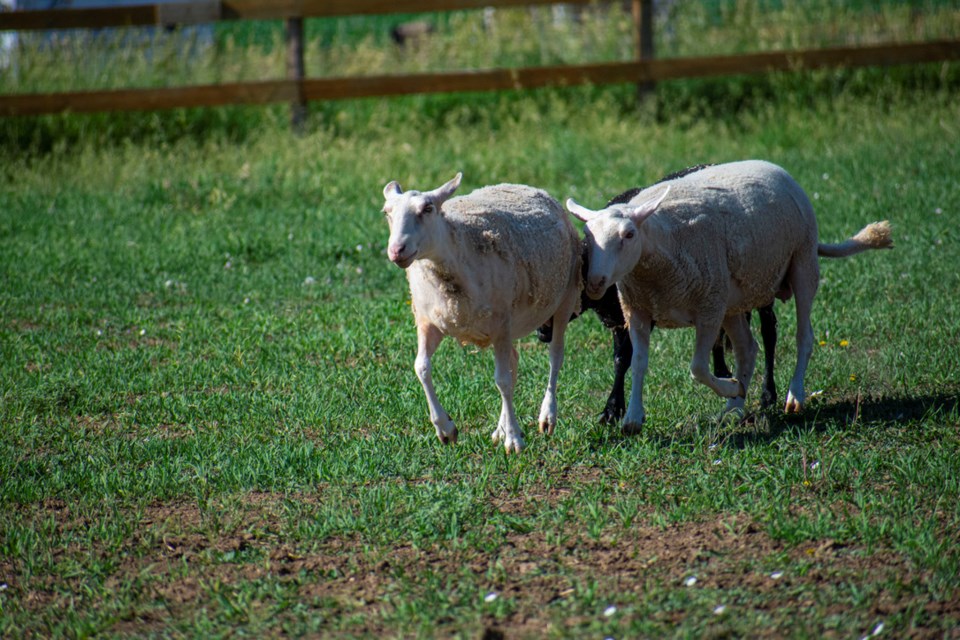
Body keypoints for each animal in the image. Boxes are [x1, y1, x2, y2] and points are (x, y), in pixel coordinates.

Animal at [380, 172, 576, 452]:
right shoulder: (430, 322)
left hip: (564, 298)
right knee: (513, 363)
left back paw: (546, 417)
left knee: (555, 357)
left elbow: (502, 380)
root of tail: (527, 186)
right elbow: (421, 368)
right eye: (387, 212)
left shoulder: (501, 325)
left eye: (427, 209)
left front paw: (514, 440)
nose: (396, 251)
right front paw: (445, 429)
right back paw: (500, 429)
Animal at [568, 159, 892, 430]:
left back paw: (792, 395)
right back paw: (734, 407)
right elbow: (636, 363)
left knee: (801, 336)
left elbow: (697, 368)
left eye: (629, 234)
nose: (595, 282)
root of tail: (771, 164)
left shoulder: (708, 309)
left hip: (801, 263)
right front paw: (632, 418)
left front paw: (730, 385)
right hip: (733, 301)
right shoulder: (637, 310)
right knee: (748, 348)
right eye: (587, 236)